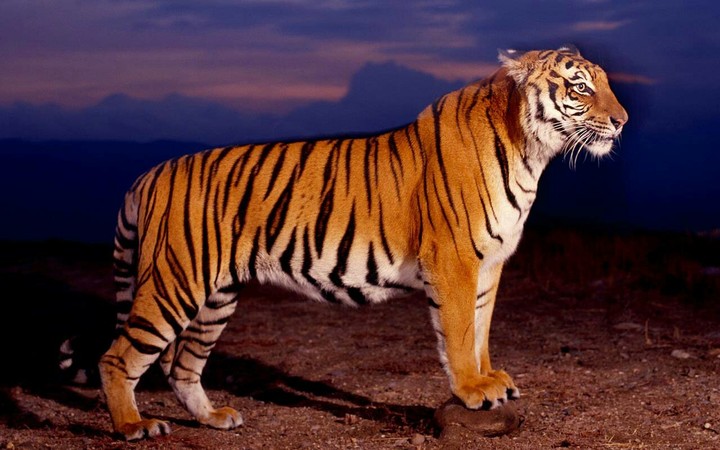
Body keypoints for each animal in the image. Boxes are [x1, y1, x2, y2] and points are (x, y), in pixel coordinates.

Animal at [97, 45, 627, 440]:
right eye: (580, 86)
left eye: (606, 83)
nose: (621, 121)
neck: (531, 151)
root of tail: (150, 173)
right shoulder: (455, 259)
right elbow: (458, 332)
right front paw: (471, 390)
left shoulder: (491, 264)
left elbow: (481, 330)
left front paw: (490, 379)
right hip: (175, 281)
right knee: (119, 357)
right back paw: (134, 426)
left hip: (217, 296)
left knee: (182, 365)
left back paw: (214, 418)